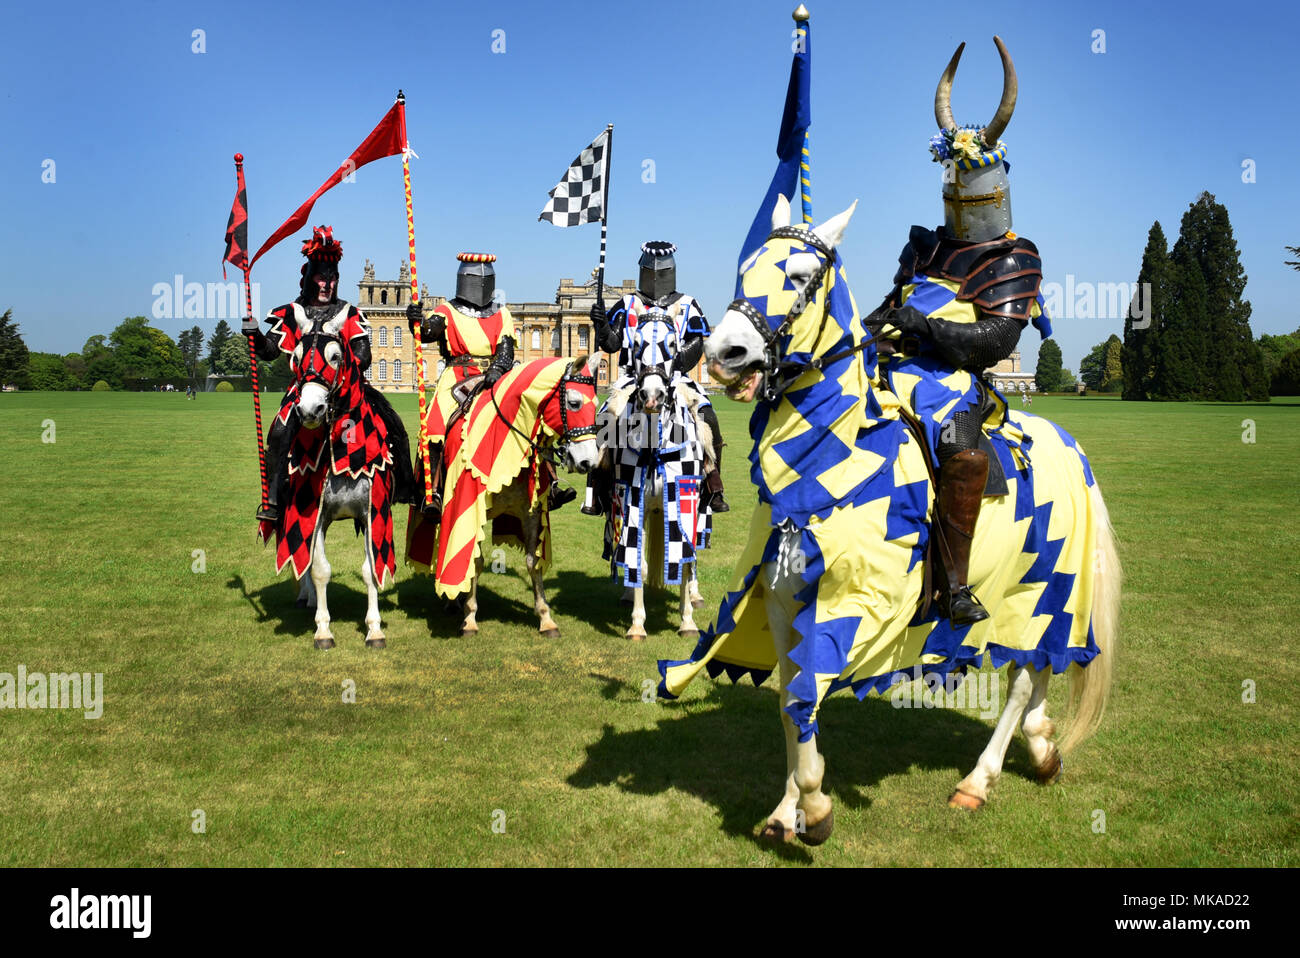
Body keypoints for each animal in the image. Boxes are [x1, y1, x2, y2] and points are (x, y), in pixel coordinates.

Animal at [660, 196, 1118, 842]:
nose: (722, 353)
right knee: (1035, 671)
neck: (827, 471)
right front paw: (784, 811)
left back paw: (978, 780)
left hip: (1045, 589)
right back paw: (1041, 745)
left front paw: (813, 806)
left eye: (800, 275)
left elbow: (805, 693)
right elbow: (789, 701)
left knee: (1028, 676)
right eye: (746, 269)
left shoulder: (857, 604)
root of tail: (1067, 446)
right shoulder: (782, 605)